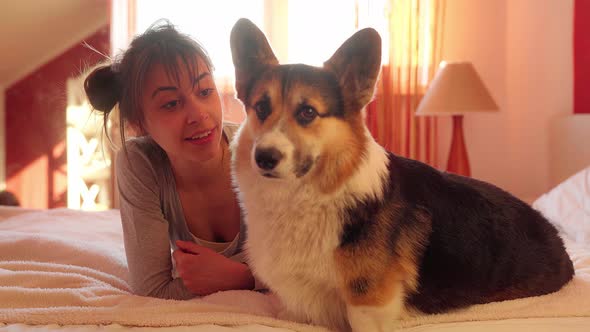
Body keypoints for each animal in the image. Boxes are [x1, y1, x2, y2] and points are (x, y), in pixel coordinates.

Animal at [229, 18, 576, 332]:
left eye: (307, 112)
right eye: (261, 108)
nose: (264, 157)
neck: (309, 197)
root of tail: (560, 243)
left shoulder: (368, 305)